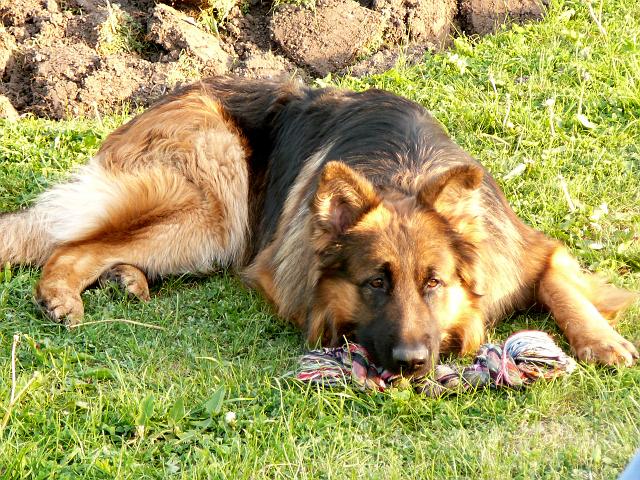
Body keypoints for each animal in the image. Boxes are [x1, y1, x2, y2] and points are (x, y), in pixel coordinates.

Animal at [1, 77, 637, 375]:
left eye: (434, 283)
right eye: (375, 283)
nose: (410, 363)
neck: (404, 170)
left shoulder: (526, 251)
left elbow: (558, 279)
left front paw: (599, 340)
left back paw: (127, 279)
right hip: (214, 208)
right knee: (69, 246)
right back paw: (62, 294)